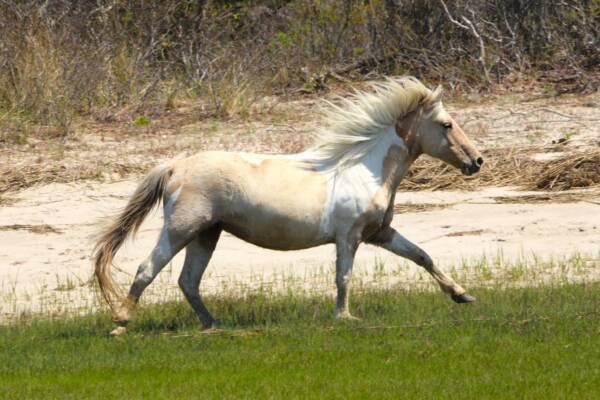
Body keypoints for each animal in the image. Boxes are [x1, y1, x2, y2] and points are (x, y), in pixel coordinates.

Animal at [96, 76, 486, 334]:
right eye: (446, 124)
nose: (477, 161)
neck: (366, 169)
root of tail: (176, 166)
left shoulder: (381, 233)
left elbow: (422, 256)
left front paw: (462, 295)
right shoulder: (350, 236)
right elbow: (344, 276)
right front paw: (344, 317)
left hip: (207, 234)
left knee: (188, 281)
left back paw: (214, 325)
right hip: (181, 229)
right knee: (147, 269)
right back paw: (120, 325)